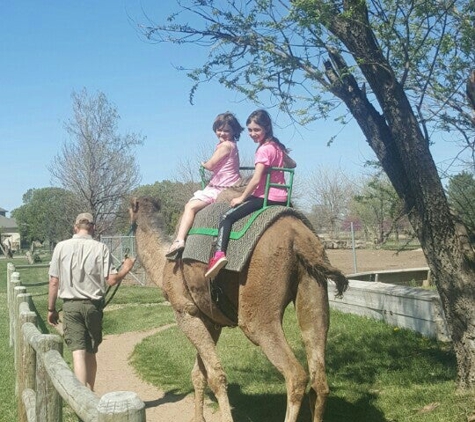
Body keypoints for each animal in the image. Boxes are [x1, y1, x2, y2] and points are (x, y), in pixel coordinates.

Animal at [130, 196, 350, 422]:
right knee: (319, 374)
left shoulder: (185, 311)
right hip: (314, 286)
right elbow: (199, 374)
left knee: (295, 375)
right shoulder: (211, 321)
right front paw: (198, 418)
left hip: (257, 306)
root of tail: (298, 237)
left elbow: (216, 376)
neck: (164, 263)